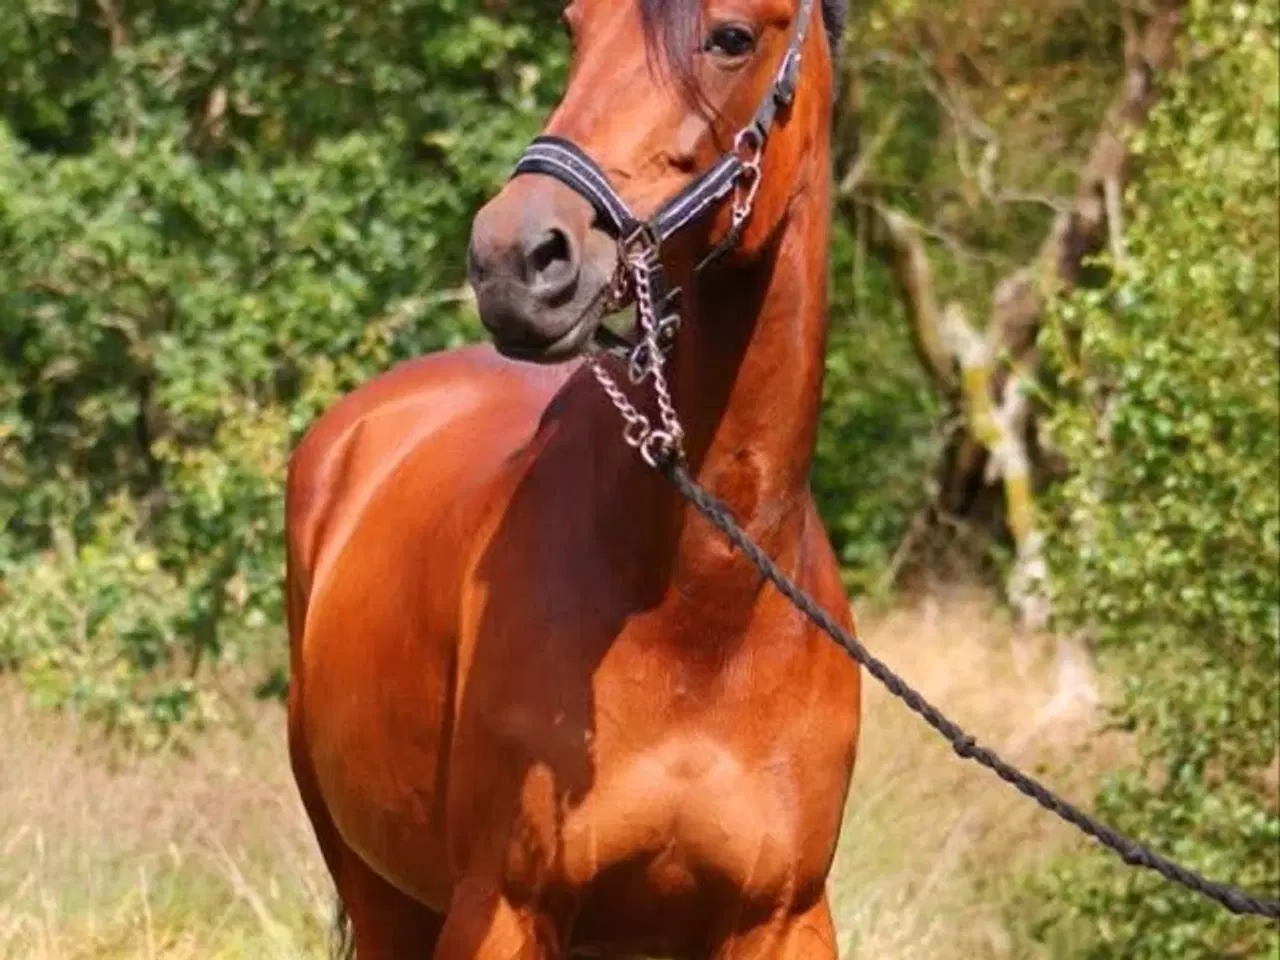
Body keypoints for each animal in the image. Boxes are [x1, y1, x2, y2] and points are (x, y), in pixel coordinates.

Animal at [281, 0, 860, 957]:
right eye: (574, 29)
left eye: (733, 37)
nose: (514, 256)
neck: (703, 610)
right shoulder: (505, 909)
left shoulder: (785, 920)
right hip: (379, 892)